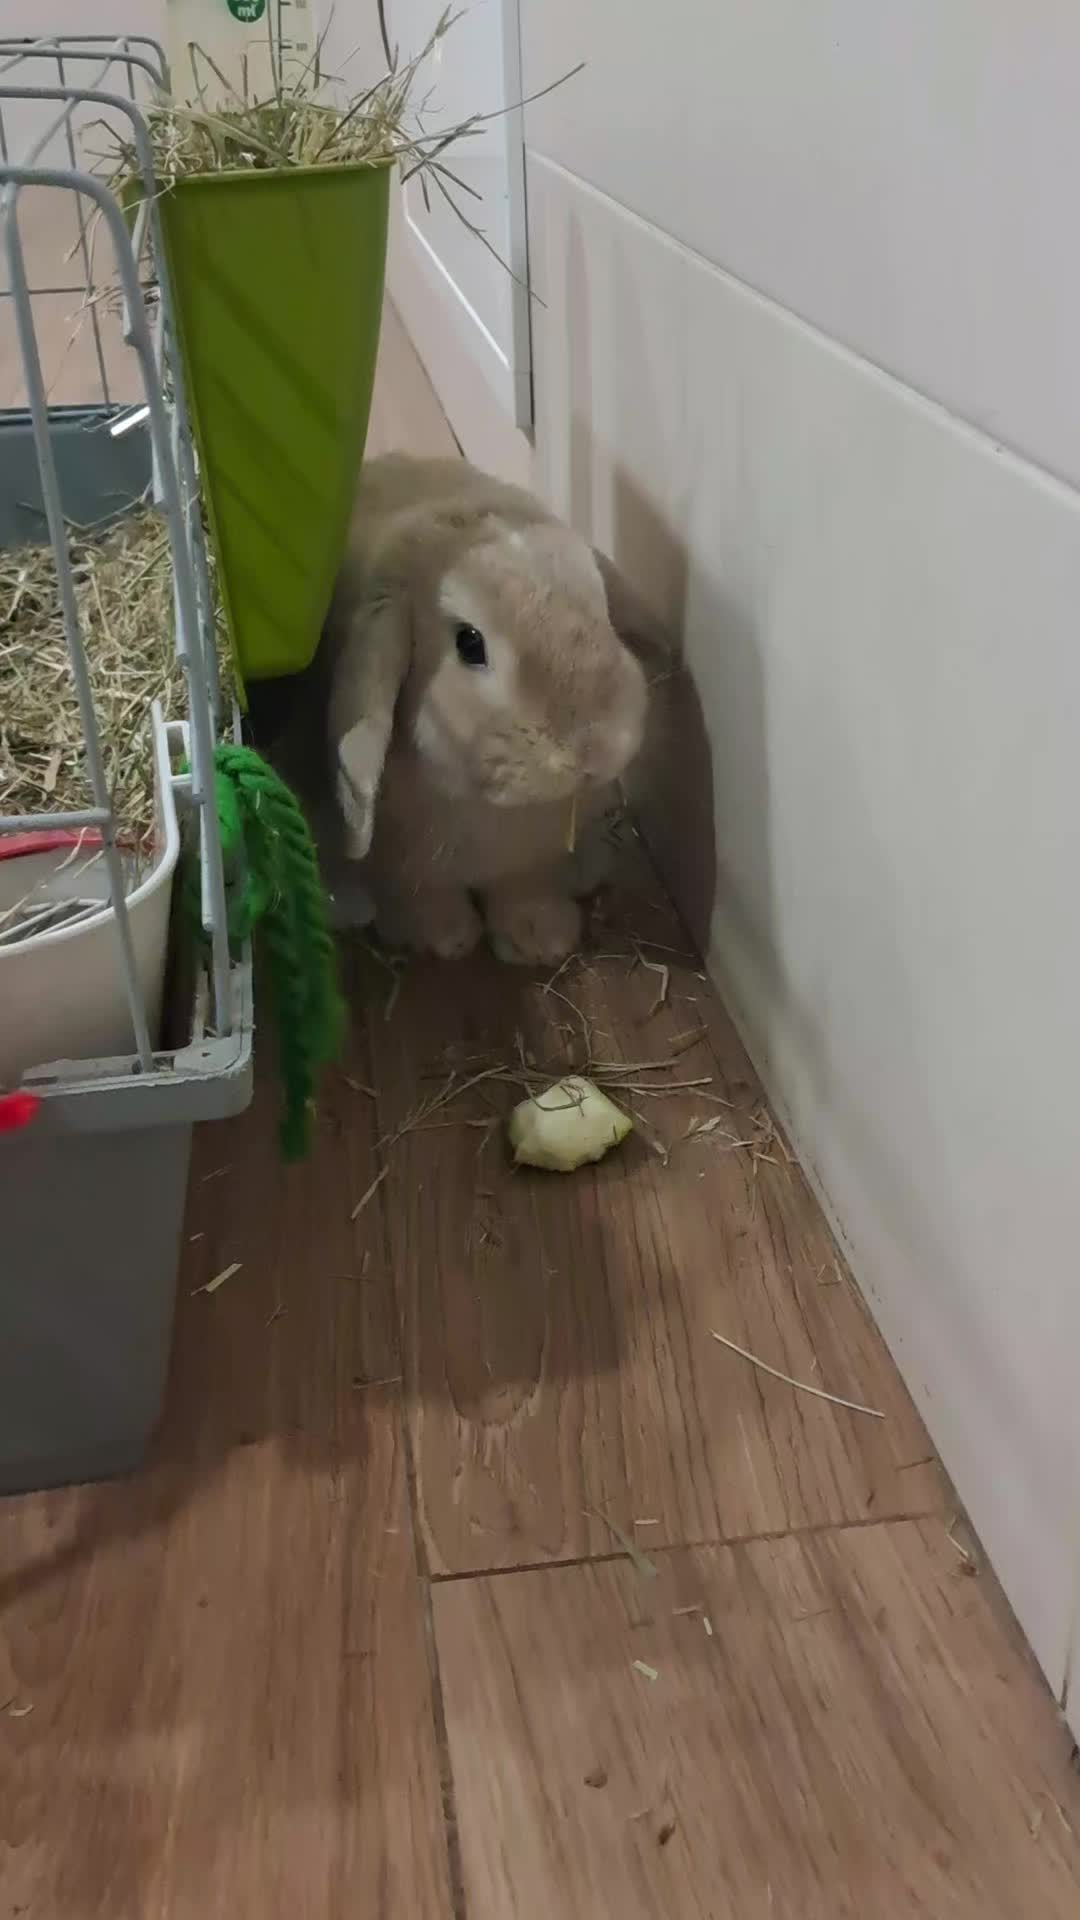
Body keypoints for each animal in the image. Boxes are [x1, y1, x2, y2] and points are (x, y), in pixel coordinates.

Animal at [321, 454, 670, 964]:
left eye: (602, 609)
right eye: (469, 643)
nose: (596, 751)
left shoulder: (528, 861)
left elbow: (522, 888)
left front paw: (540, 938)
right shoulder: (402, 865)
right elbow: (421, 892)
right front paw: (442, 936)